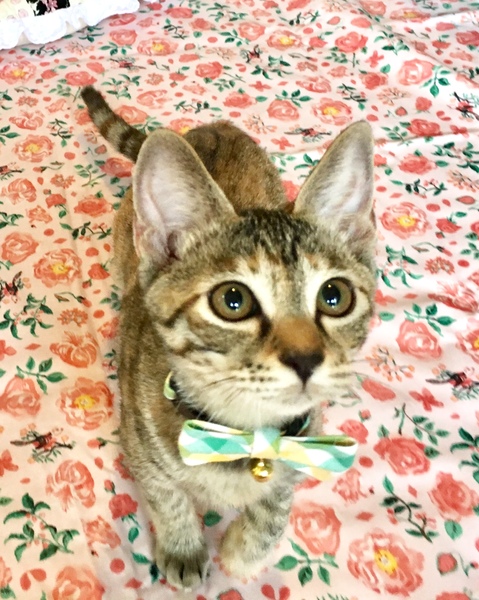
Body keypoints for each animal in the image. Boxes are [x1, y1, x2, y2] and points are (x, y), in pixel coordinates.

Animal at [81, 85, 376, 590]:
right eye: (232, 300)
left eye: (334, 296)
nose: (305, 358)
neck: (243, 435)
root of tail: (211, 128)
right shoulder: (137, 441)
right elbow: (167, 498)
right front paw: (183, 547)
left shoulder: (306, 437)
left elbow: (277, 504)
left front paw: (246, 554)